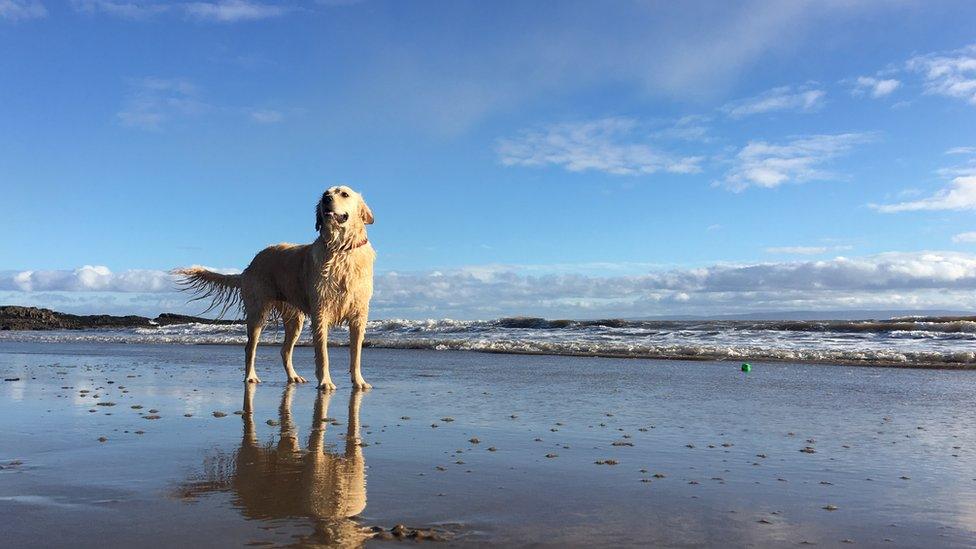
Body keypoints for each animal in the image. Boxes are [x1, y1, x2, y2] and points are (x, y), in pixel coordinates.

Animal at [173, 186, 376, 392]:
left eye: (344, 194)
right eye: (325, 193)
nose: (326, 199)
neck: (341, 248)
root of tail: (250, 266)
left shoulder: (359, 315)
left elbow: (356, 354)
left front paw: (359, 381)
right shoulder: (321, 311)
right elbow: (323, 354)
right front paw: (325, 382)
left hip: (294, 319)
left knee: (284, 350)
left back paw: (293, 376)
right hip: (258, 313)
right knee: (250, 348)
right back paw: (251, 377)